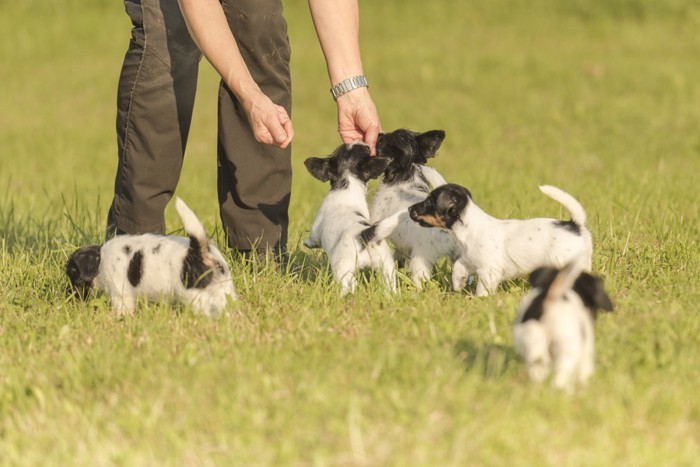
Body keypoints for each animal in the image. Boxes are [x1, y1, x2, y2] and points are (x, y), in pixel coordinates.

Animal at [68, 198, 238, 318]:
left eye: (73, 275)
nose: (70, 298)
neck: (101, 259)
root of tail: (200, 250)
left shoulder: (120, 293)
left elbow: (122, 309)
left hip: (192, 293)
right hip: (223, 286)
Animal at [304, 143, 408, 296]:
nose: (365, 143)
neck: (348, 184)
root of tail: (365, 234)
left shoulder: (316, 228)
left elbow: (312, 239)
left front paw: (306, 243)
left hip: (342, 266)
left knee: (350, 284)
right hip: (386, 266)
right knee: (389, 285)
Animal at [408, 183, 592, 296]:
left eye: (429, 201)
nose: (409, 208)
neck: (469, 229)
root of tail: (575, 225)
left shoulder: (488, 270)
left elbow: (483, 289)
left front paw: (479, 299)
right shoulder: (470, 260)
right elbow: (459, 267)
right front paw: (458, 284)